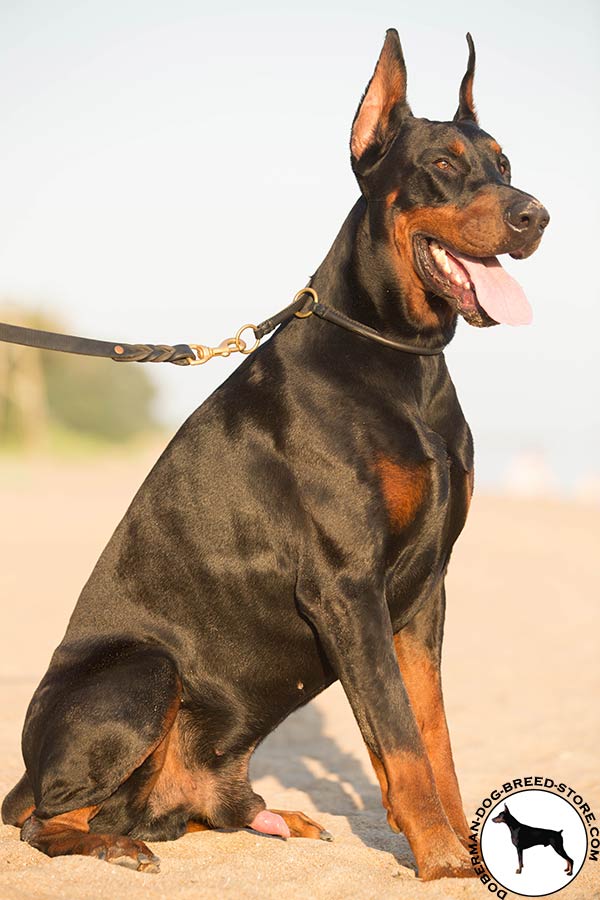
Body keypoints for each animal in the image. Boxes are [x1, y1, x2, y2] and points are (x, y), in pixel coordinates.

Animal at [1, 29, 548, 880]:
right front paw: (439, 856)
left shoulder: (426, 591)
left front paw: (460, 843)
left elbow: (434, 735)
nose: (537, 216)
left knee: (183, 810)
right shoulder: (347, 586)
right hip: (144, 670)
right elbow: (399, 735)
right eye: (443, 164)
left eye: (504, 162)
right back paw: (113, 844)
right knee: (44, 818)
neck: (402, 357)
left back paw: (266, 816)